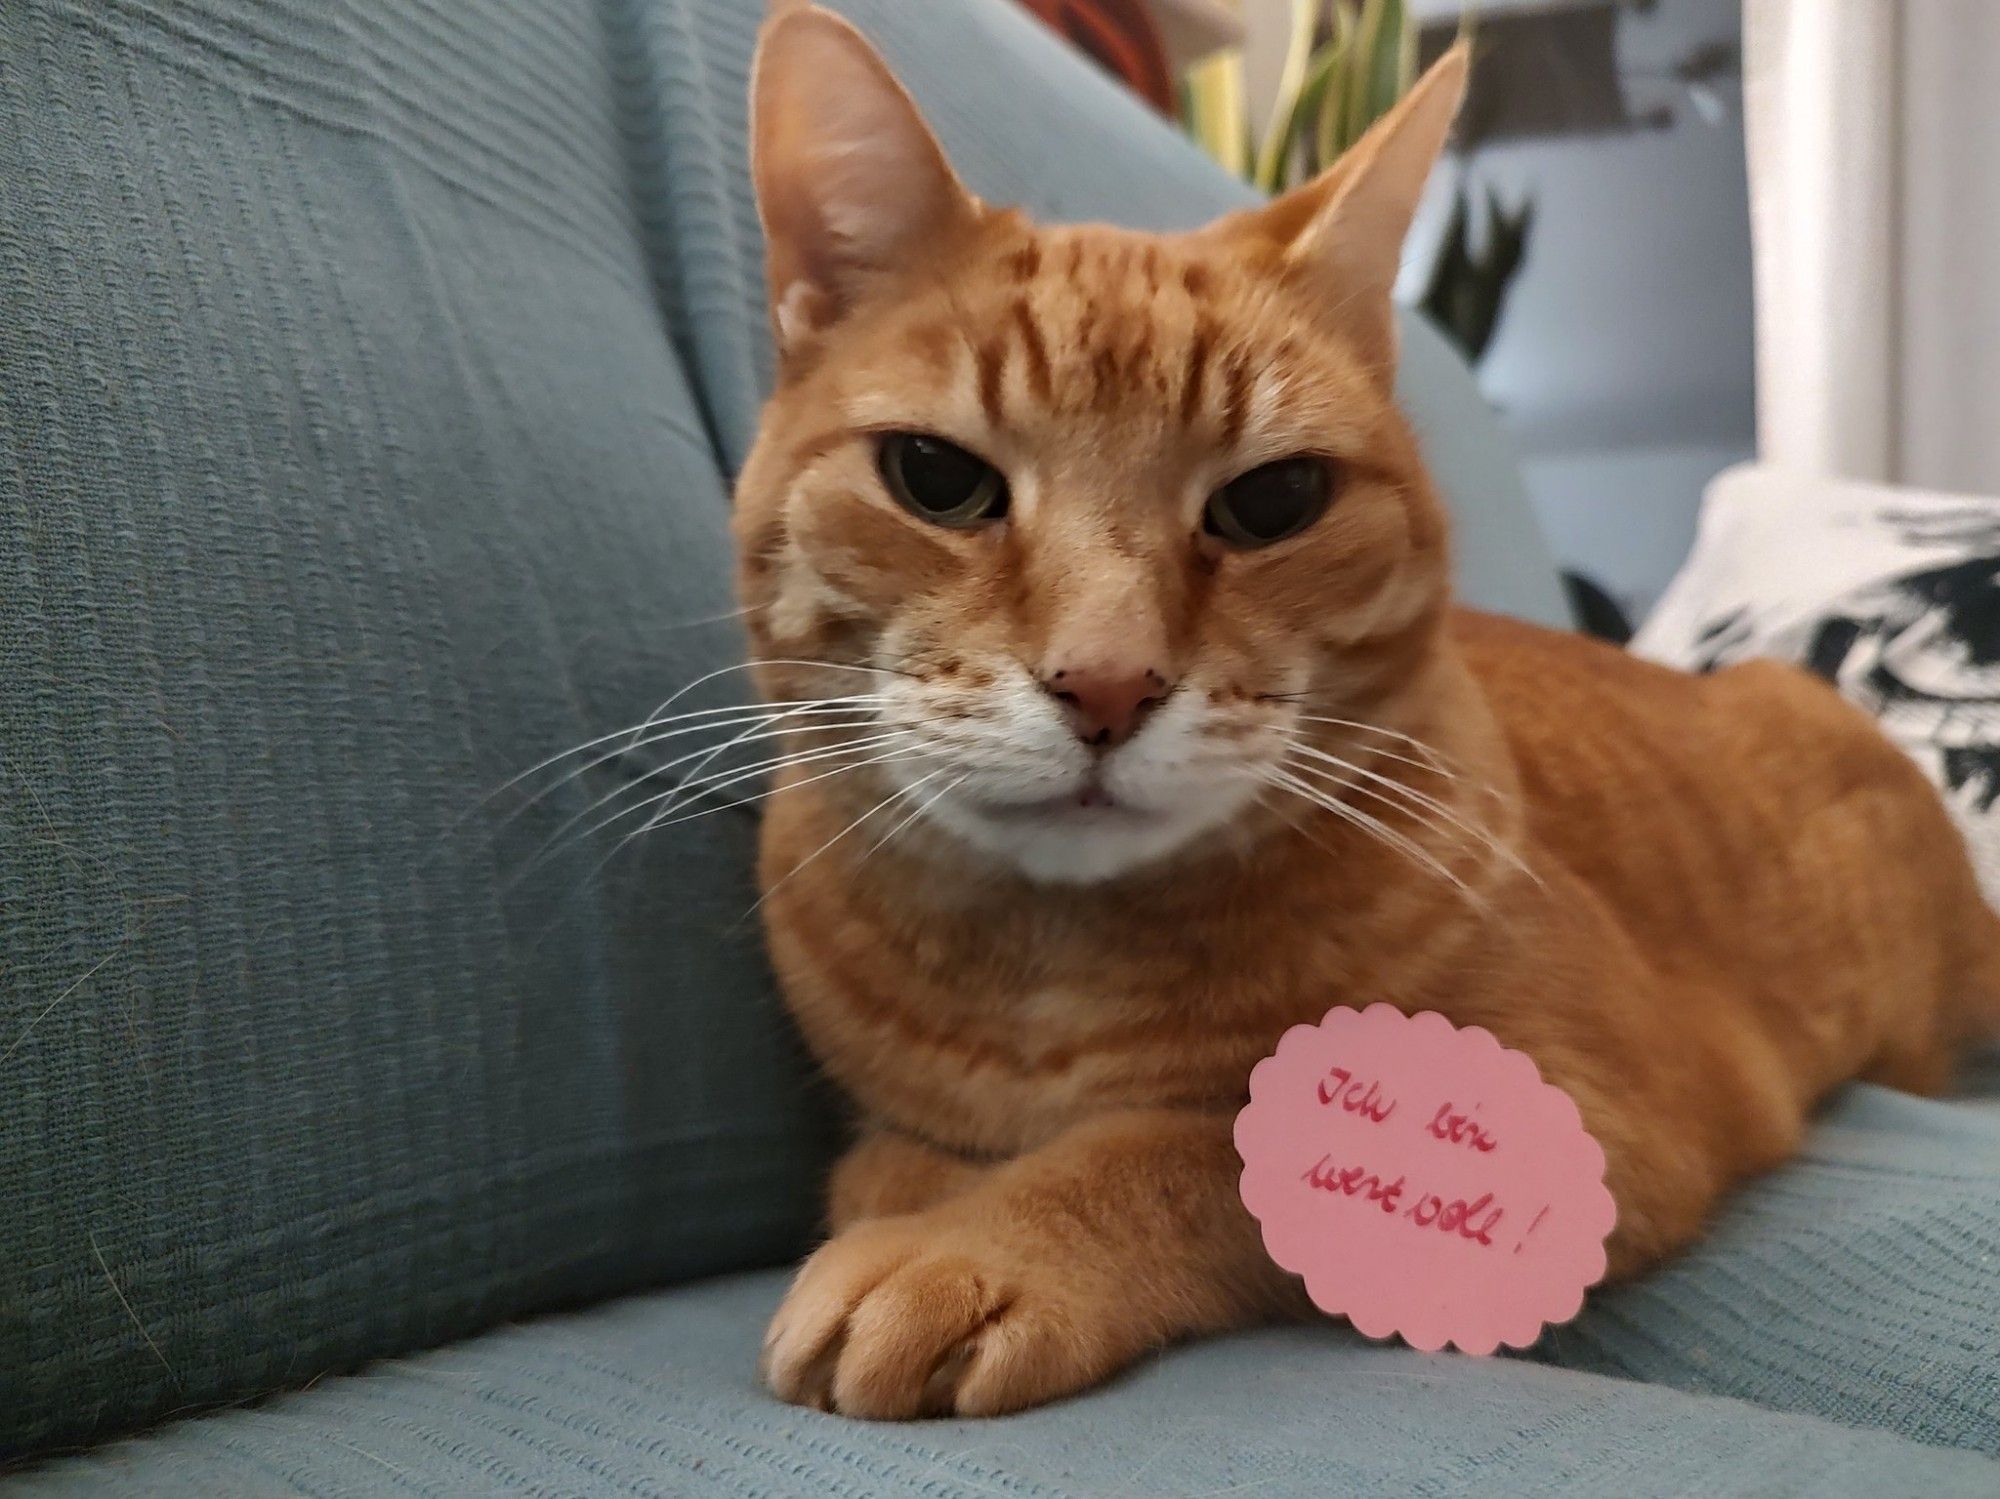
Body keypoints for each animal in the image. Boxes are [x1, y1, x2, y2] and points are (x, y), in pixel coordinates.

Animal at [732, 8, 2000, 1423]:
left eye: (1272, 501)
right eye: (936, 478)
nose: (1106, 684)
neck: (1051, 973)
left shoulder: (1590, 1108)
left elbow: (1190, 1146)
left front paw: (973, 1243)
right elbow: (887, 1156)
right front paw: (915, 1194)